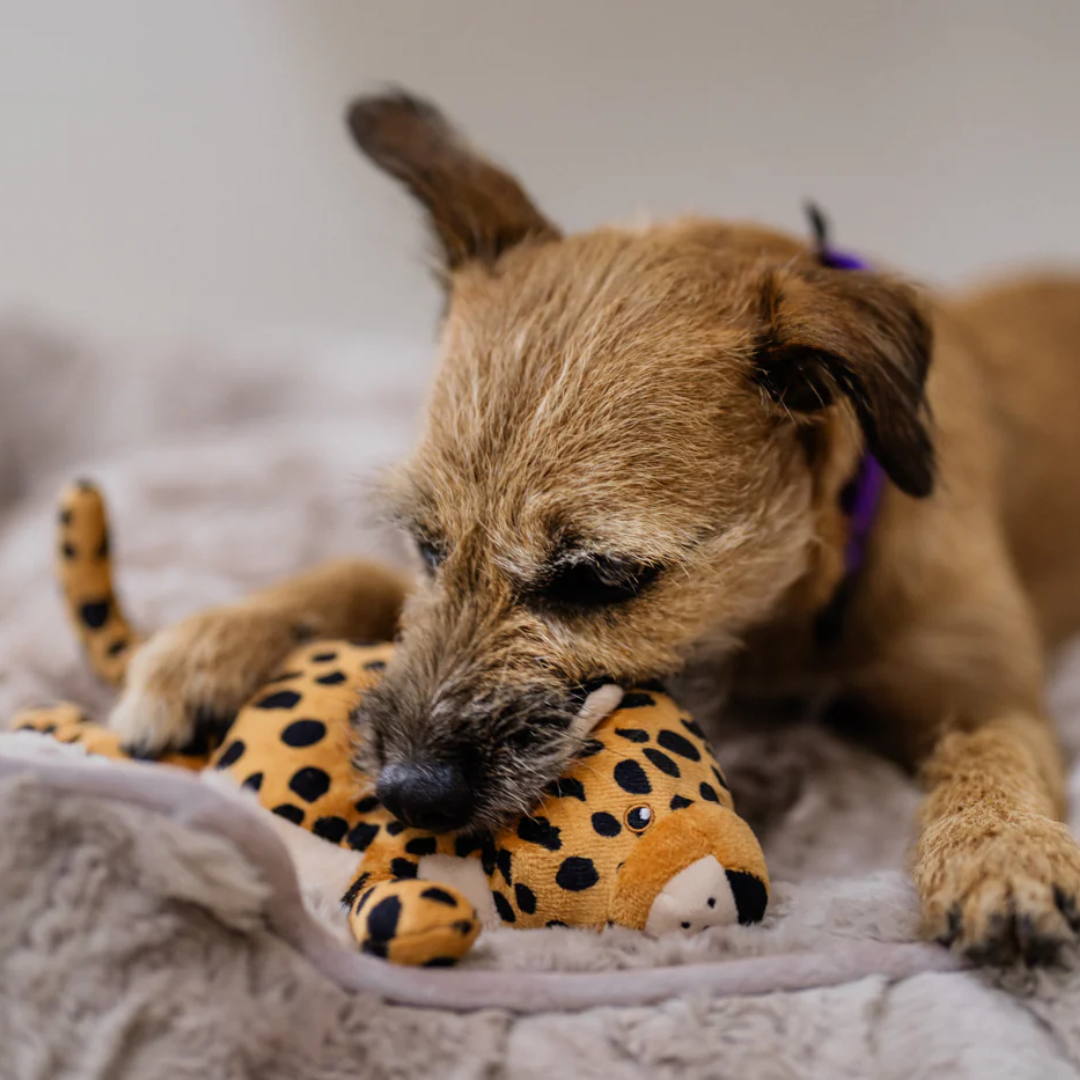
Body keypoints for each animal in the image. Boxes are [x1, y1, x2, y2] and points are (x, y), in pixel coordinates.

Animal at [105, 86, 1080, 963]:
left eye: (600, 579)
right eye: (426, 543)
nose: (406, 792)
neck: (787, 614)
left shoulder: (991, 690)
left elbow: (992, 749)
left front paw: (1003, 854)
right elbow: (356, 578)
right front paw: (205, 650)